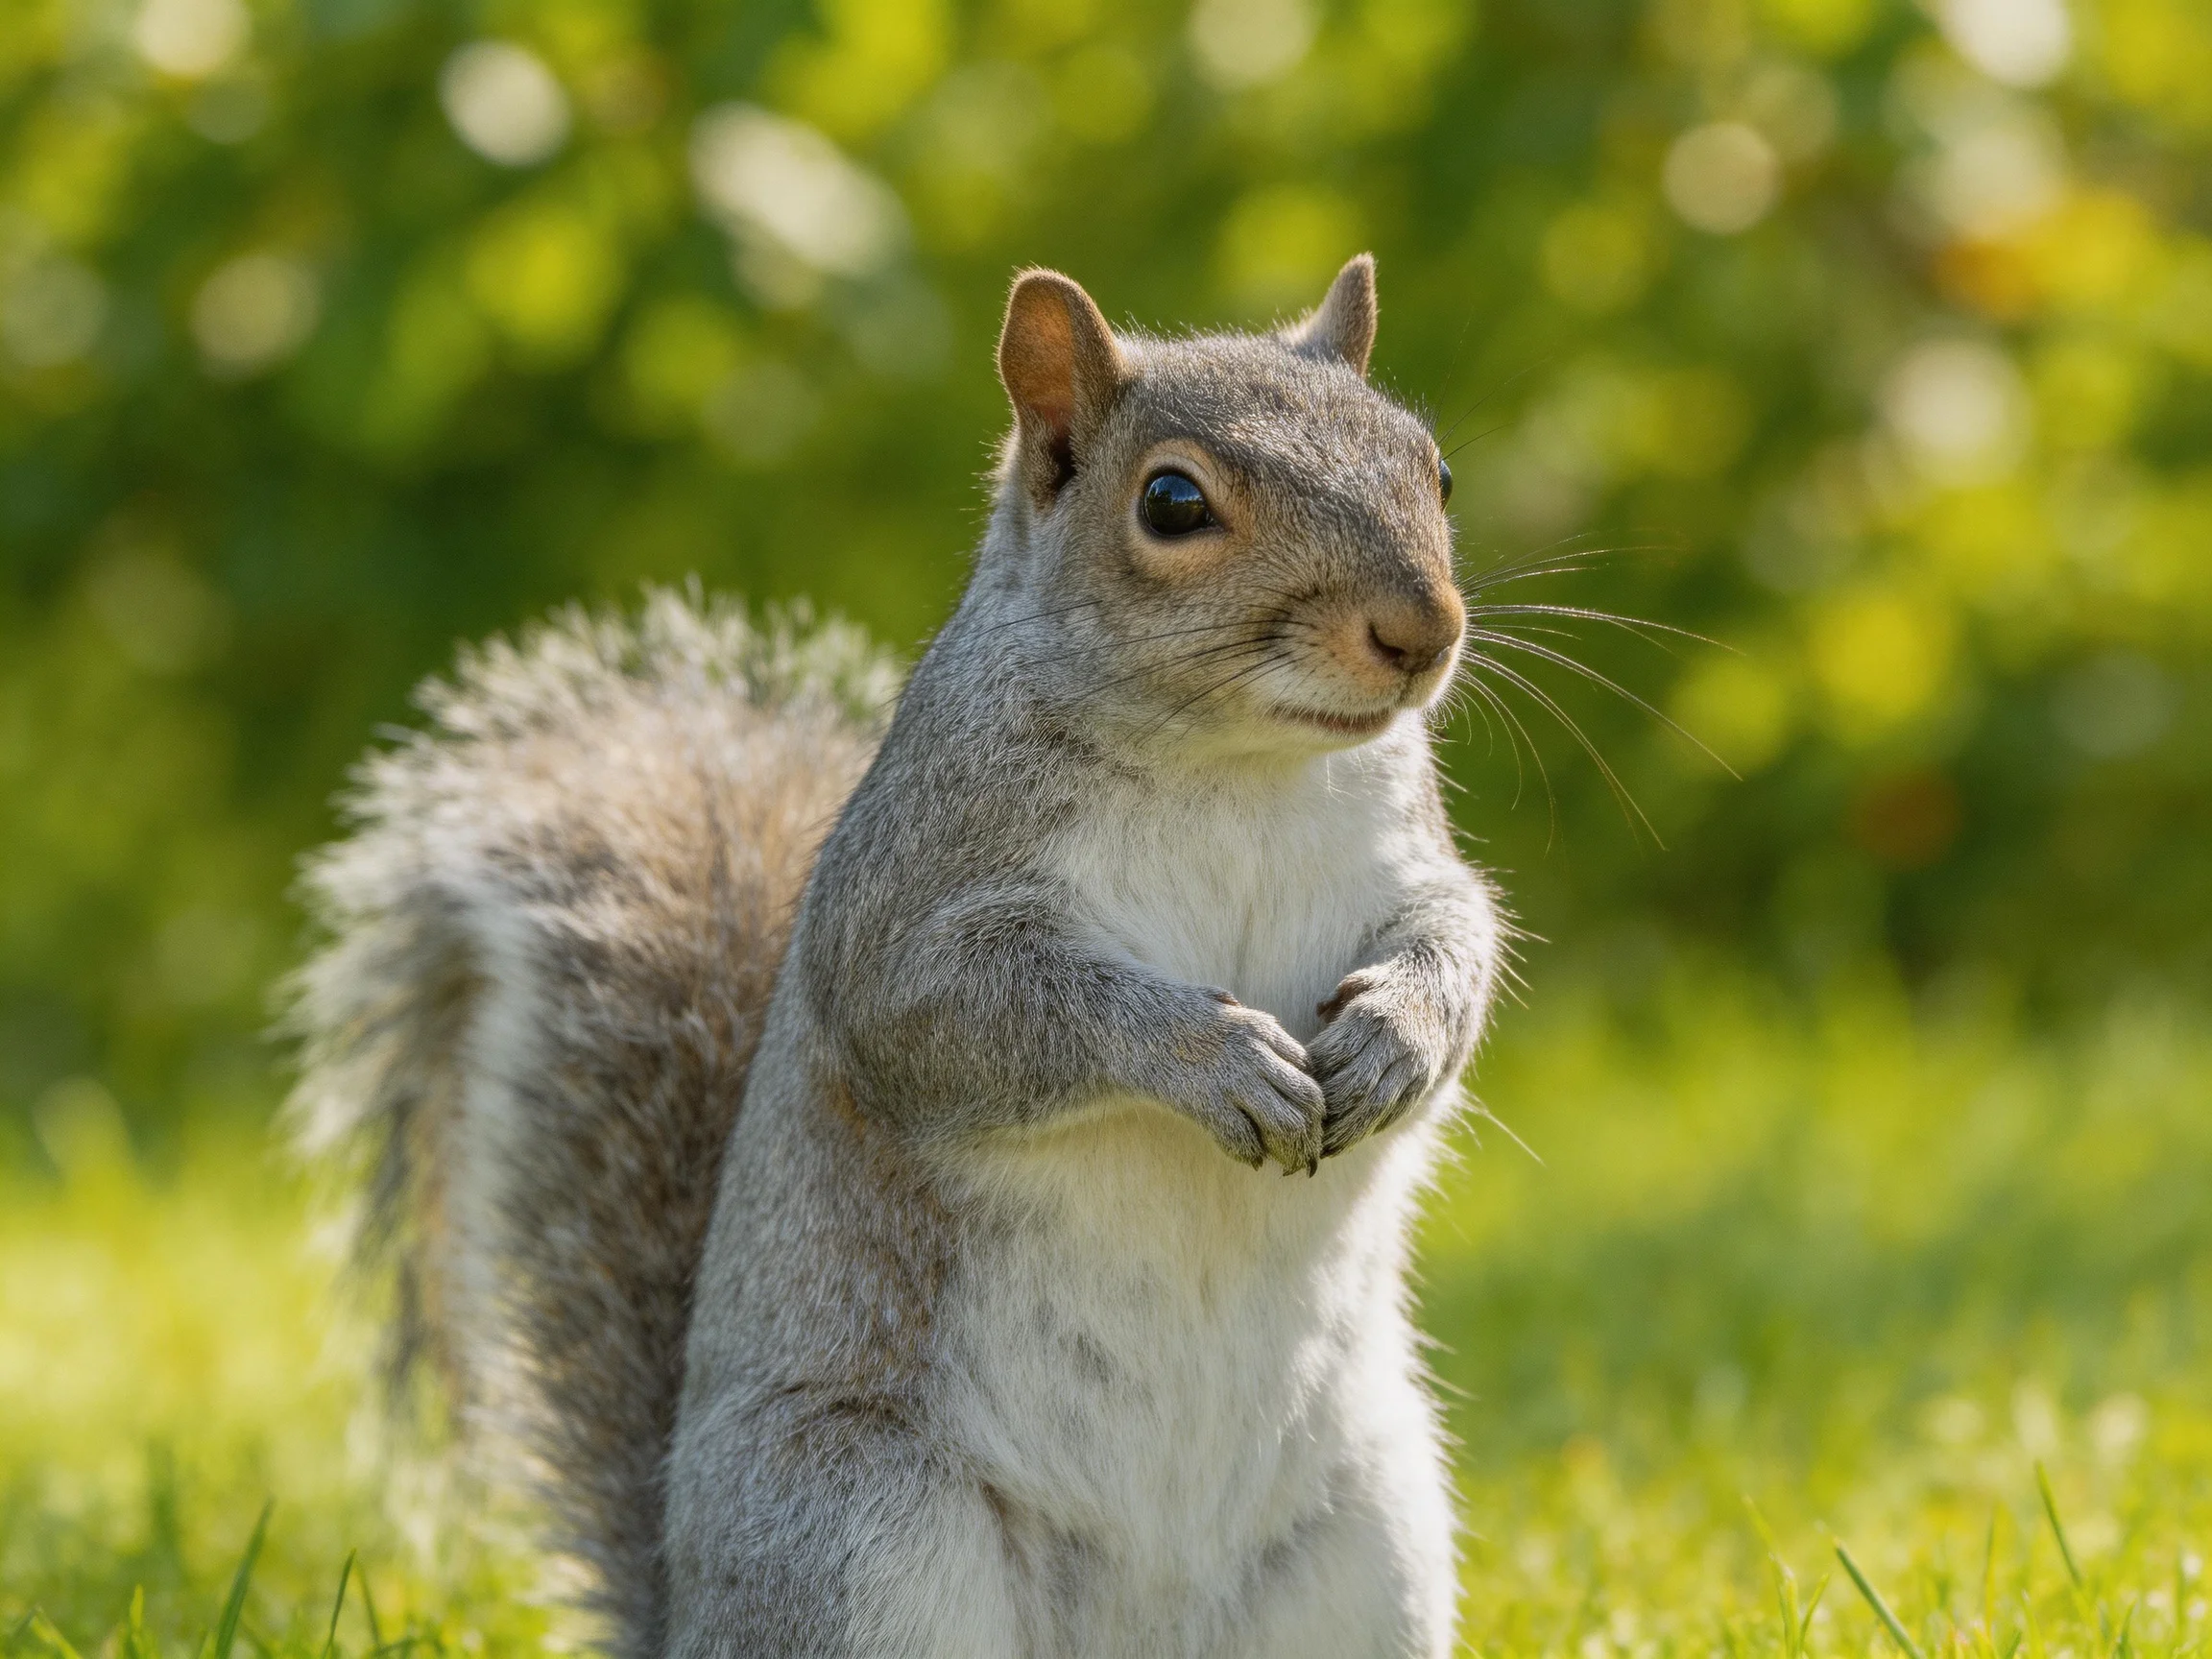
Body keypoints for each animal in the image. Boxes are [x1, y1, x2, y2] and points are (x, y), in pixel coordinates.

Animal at [290, 254, 1505, 1659]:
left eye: (1435, 470)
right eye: (1173, 502)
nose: (1422, 630)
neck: (1242, 767)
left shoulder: (1410, 859)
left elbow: (1461, 932)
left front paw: (1400, 1037)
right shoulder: (906, 912)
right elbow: (974, 1015)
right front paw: (1215, 1059)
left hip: (1373, 1550)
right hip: (863, 1540)